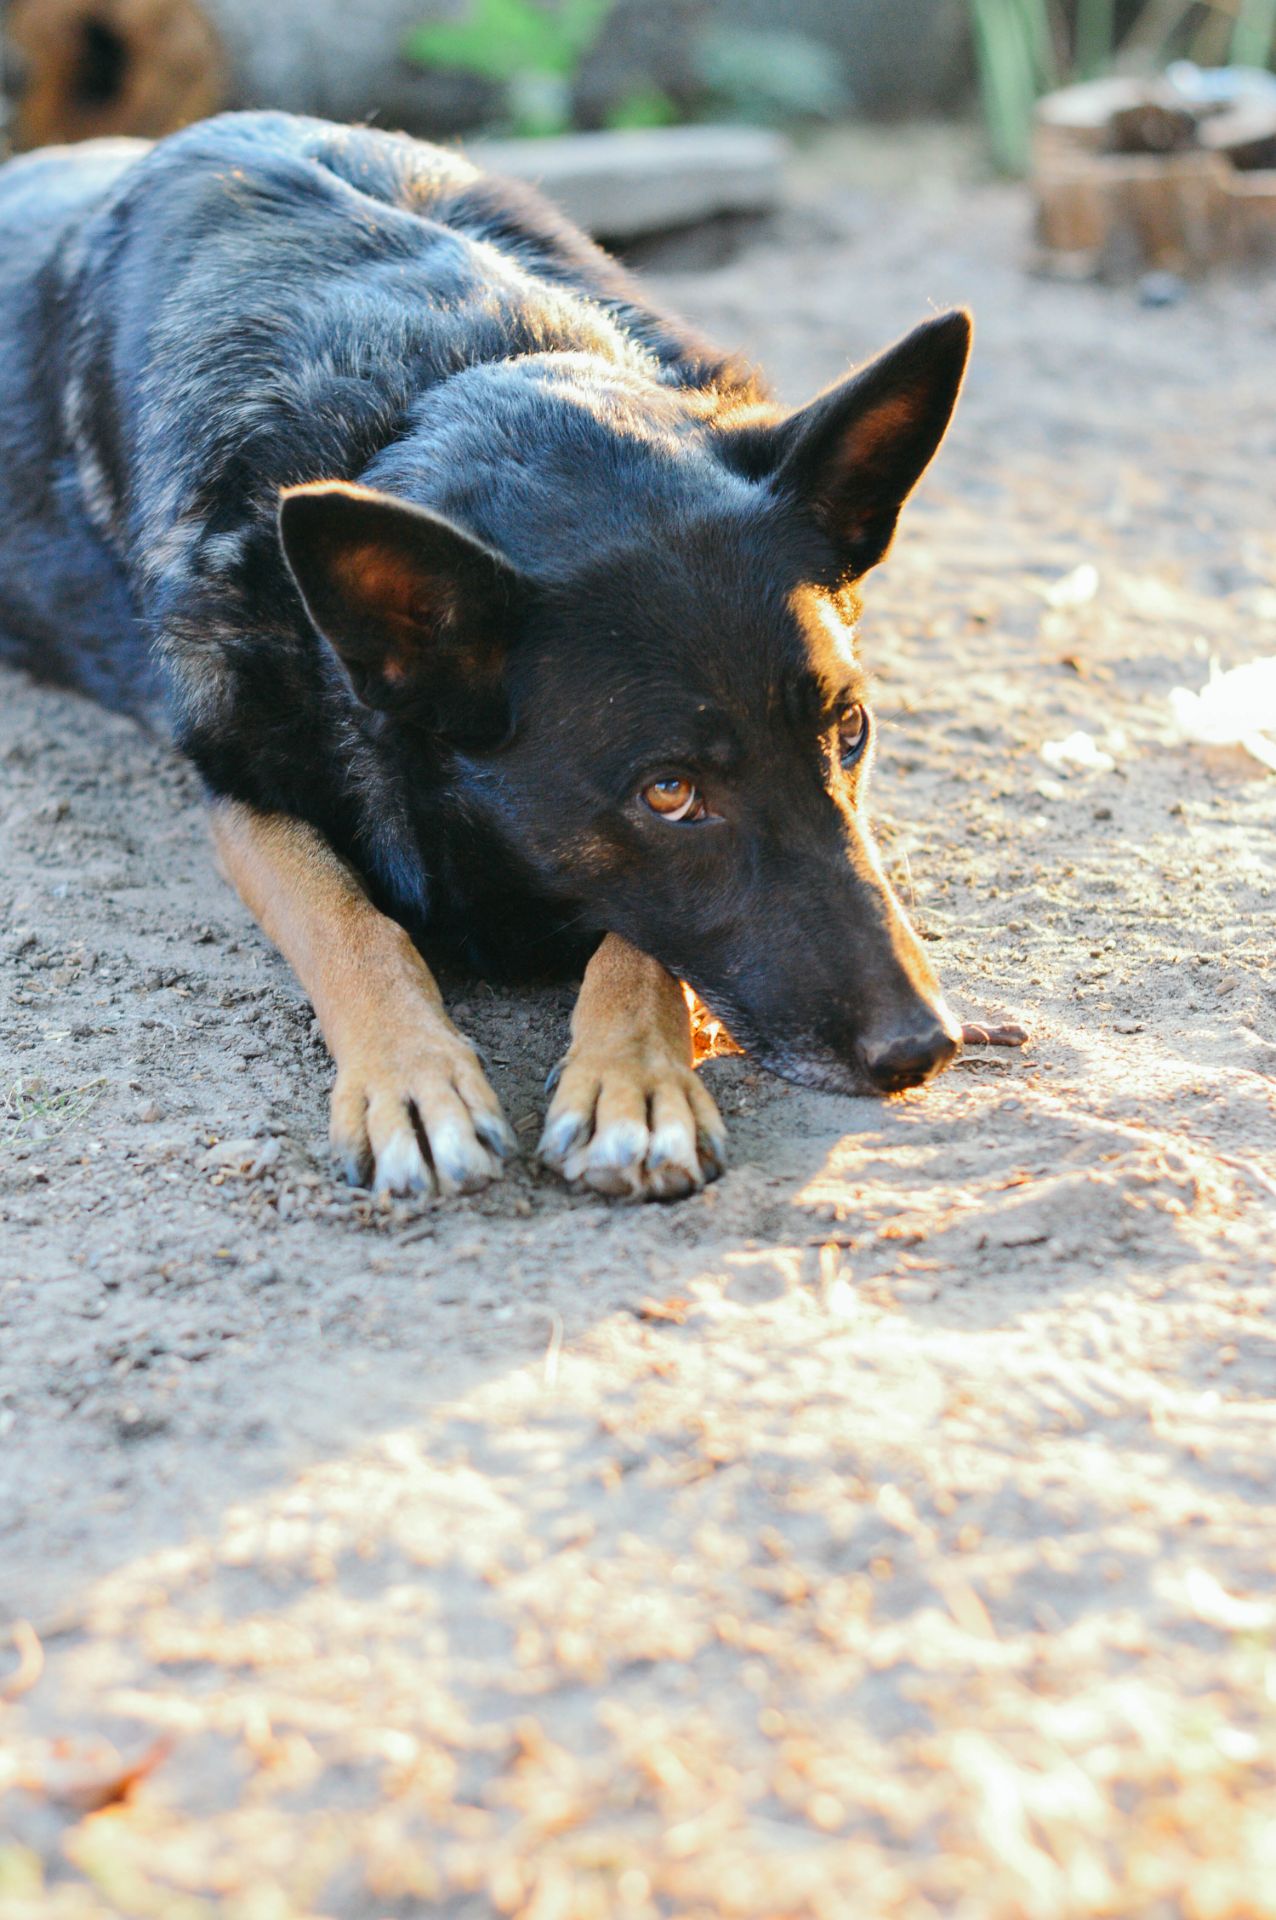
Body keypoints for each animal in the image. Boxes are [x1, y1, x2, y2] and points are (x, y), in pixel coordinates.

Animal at [0, 108, 967, 1198]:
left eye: (850, 731)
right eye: (669, 793)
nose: (925, 1048)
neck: (449, 365)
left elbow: (639, 943)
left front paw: (633, 1082)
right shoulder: (245, 789)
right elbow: (348, 921)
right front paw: (411, 1080)